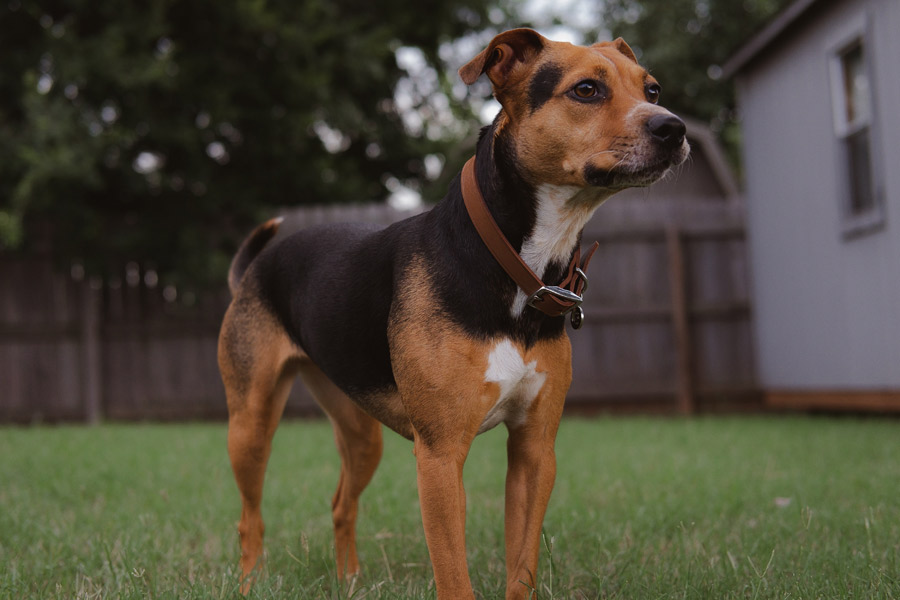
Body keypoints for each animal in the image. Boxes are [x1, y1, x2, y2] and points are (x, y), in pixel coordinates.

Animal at [220, 28, 688, 600]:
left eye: (653, 89)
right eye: (586, 90)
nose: (673, 127)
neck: (516, 268)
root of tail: (254, 268)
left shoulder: (535, 450)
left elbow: (521, 568)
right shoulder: (441, 456)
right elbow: (454, 573)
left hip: (361, 432)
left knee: (340, 504)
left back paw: (349, 580)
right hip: (250, 424)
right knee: (250, 517)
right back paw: (250, 581)